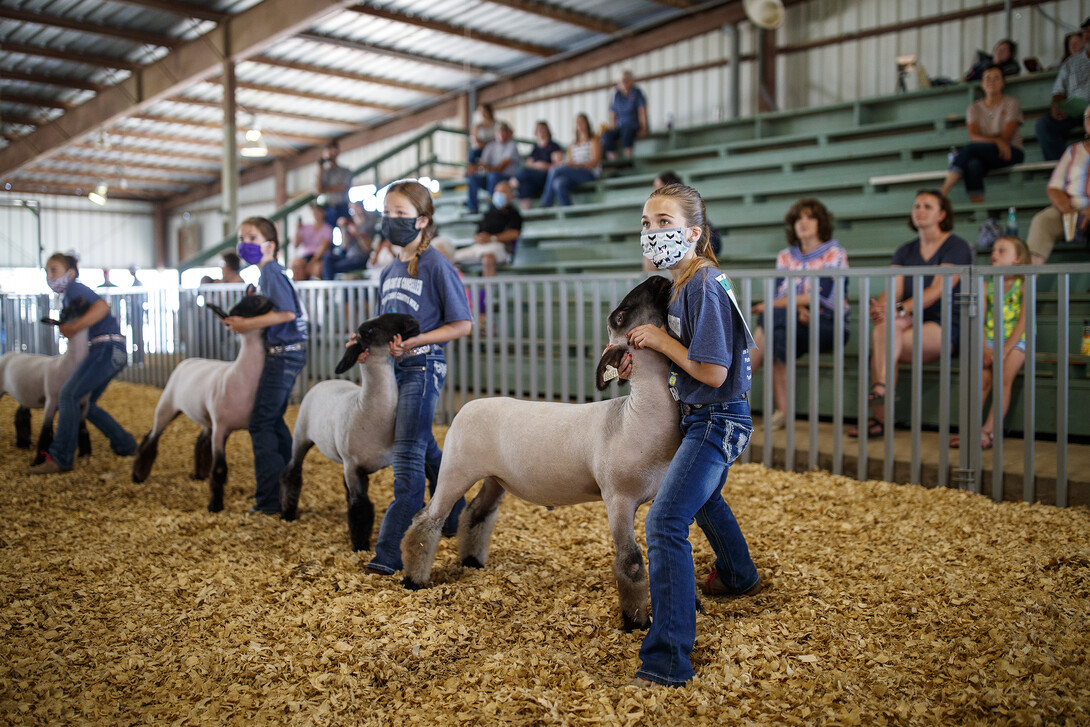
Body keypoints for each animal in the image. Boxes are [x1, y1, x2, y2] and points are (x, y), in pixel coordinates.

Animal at [0, 298, 92, 464]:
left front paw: (85, 454)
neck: (68, 363)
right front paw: (39, 460)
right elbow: (47, 431)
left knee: (21, 415)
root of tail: (7, 353)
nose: (81, 298)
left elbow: (82, 428)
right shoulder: (51, 400)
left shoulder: (84, 403)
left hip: (24, 394)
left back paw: (23, 443)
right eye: (64, 312)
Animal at [130, 292, 274, 514]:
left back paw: (199, 474)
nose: (263, 298)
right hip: (167, 405)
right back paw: (138, 475)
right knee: (151, 437)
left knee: (200, 441)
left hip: (206, 418)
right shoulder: (221, 427)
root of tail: (188, 359)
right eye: (239, 309)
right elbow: (220, 468)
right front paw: (215, 505)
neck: (240, 375)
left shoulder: (245, 427)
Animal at [279, 311, 418, 551]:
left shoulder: (379, 463)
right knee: (292, 472)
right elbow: (360, 507)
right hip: (301, 436)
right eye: (369, 330)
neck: (367, 411)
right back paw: (288, 513)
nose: (412, 320)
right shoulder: (352, 465)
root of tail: (326, 380)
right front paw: (360, 546)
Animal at [396, 275, 675, 627]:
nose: (658, 279)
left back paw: (472, 561)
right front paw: (636, 621)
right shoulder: (618, 499)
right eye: (621, 317)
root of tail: (469, 404)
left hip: (495, 478)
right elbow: (632, 561)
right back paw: (414, 579)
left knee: (476, 513)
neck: (633, 417)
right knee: (427, 519)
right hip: (456, 469)